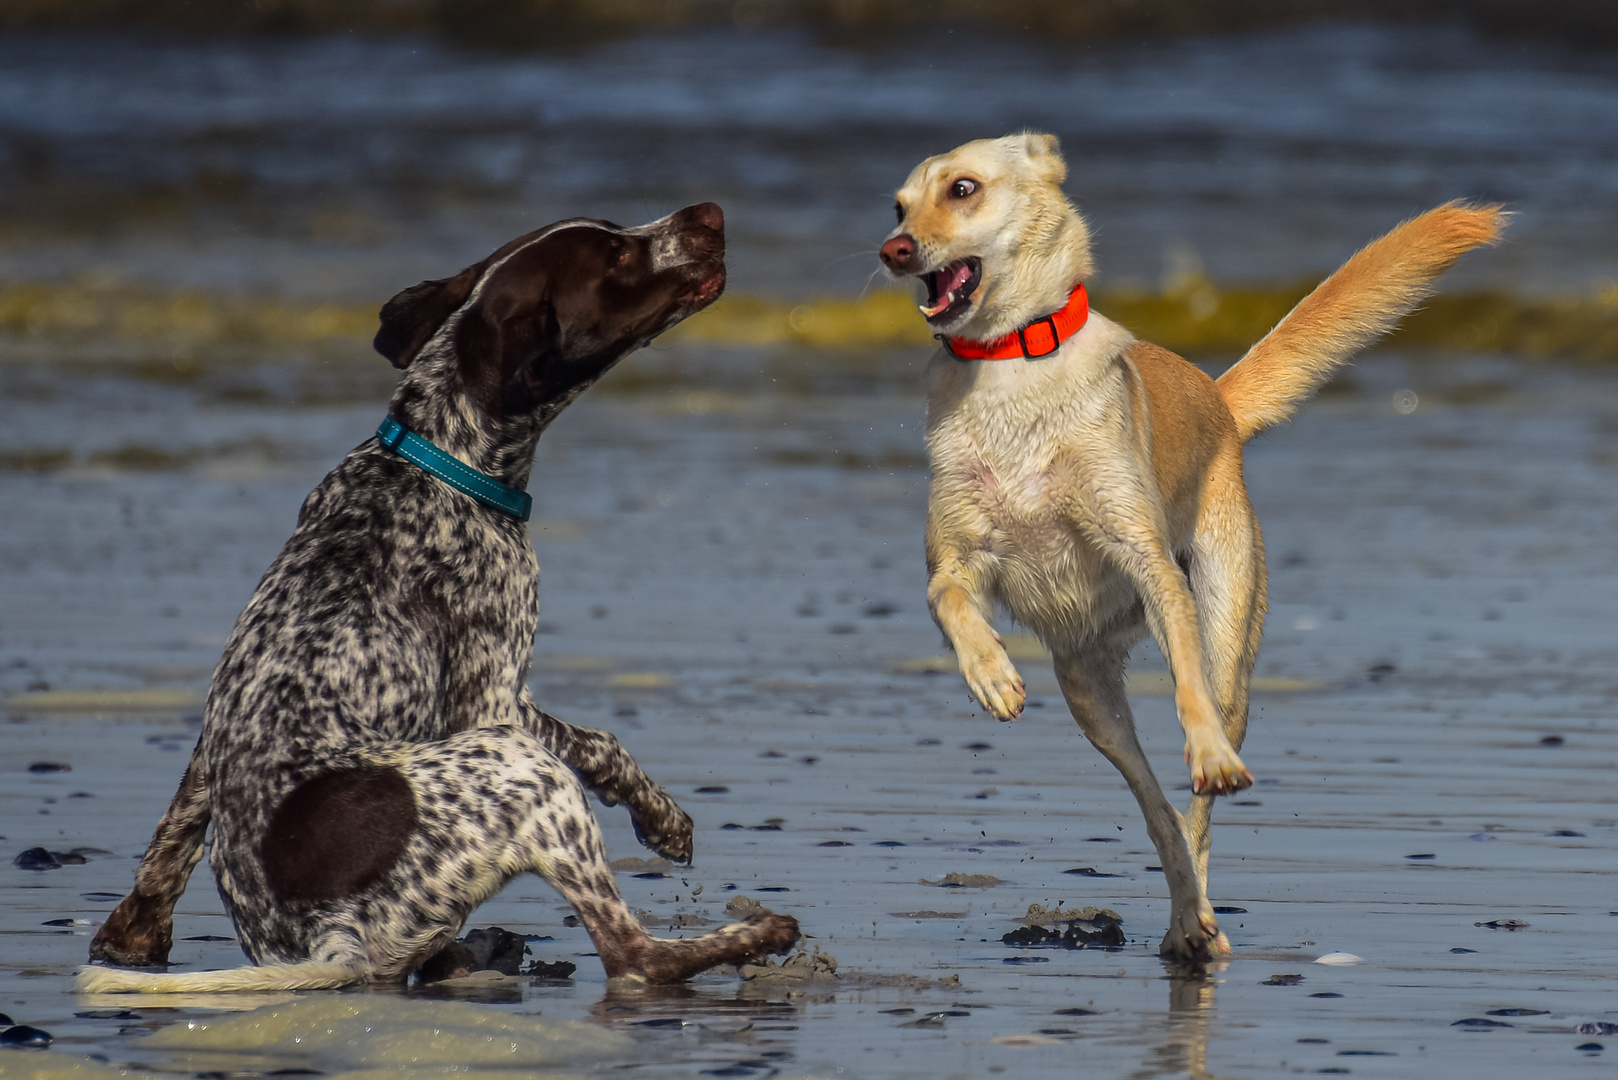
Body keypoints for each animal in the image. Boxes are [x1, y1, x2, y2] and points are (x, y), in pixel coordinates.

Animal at [78, 200, 799, 990]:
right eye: (614, 259)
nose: (709, 213)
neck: (436, 457)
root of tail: (330, 941)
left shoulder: (214, 736)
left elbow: (173, 830)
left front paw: (134, 934)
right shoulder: (493, 700)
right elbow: (602, 742)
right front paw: (662, 817)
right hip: (521, 769)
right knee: (635, 957)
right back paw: (756, 935)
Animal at [886, 131, 1501, 958]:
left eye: (962, 188)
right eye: (898, 206)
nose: (893, 250)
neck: (1011, 368)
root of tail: (1218, 397)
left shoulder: (1149, 563)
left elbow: (1187, 692)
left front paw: (1206, 754)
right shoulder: (955, 559)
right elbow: (950, 601)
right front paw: (992, 677)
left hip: (1229, 637)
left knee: (1196, 799)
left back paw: (1198, 905)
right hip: (1089, 694)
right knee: (1155, 807)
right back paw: (1185, 911)